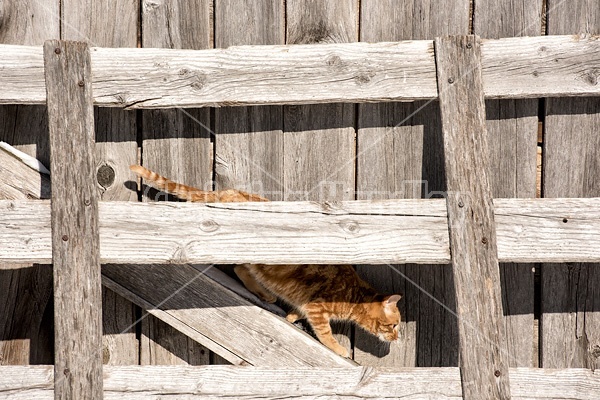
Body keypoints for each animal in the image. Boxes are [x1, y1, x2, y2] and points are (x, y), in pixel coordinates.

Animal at [131, 164, 404, 358]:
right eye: (393, 326)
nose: (398, 338)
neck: (354, 296)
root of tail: (229, 191)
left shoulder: (306, 304)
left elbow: (297, 311)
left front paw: (291, 317)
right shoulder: (317, 308)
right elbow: (326, 333)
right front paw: (338, 349)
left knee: (242, 269)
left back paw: (265, 294)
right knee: (237, 266)